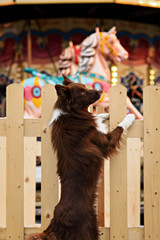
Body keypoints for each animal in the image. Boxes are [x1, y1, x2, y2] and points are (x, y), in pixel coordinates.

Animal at [28, 75, 136, 240]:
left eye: (85, 87)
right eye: (83, 92)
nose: (100, 90)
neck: (71, 113)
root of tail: (56, 223)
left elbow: (97, 116)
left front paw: (106, 114)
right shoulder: (105, 142)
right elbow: (119, 127)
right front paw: (129, 116)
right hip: (88, 230)